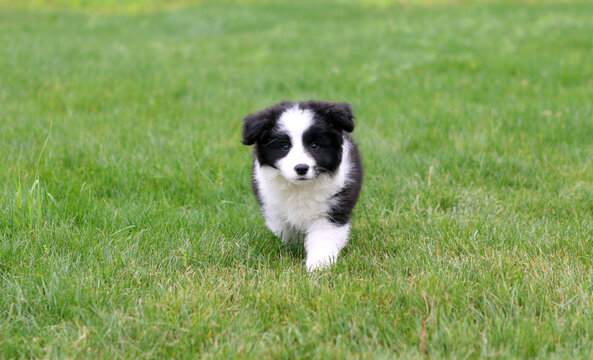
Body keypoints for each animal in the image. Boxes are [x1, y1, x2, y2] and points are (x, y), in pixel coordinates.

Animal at [240, 100, 360, 272]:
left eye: (314, 145)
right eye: (284, 147)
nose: (301, 168)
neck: (300, 188)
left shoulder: (332, 208)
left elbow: (323, 237)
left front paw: (318, 265)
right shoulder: (273, 206)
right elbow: (286, 228)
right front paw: (296, 248)